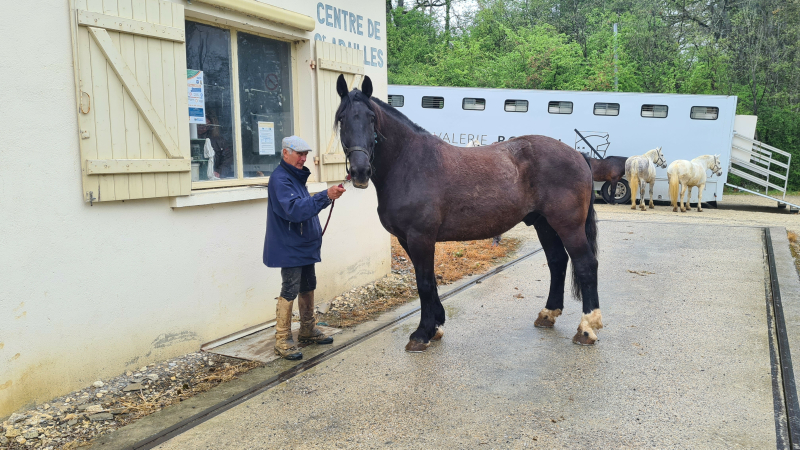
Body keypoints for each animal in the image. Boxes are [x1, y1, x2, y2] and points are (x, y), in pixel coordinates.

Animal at [334, 74, 602, 351]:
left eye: (371, 118)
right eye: (342, 118)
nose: (360, 171)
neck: (409, 163)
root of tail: (578, 155)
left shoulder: (420, 238)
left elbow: (424, 283)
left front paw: (422, 333)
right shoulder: (407, 239)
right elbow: (430, 280)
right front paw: (436, 326)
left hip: (568, 225)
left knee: (585, 264)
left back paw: (586, 328)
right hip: (544, 224)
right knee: (557, 261)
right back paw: (548, 314)